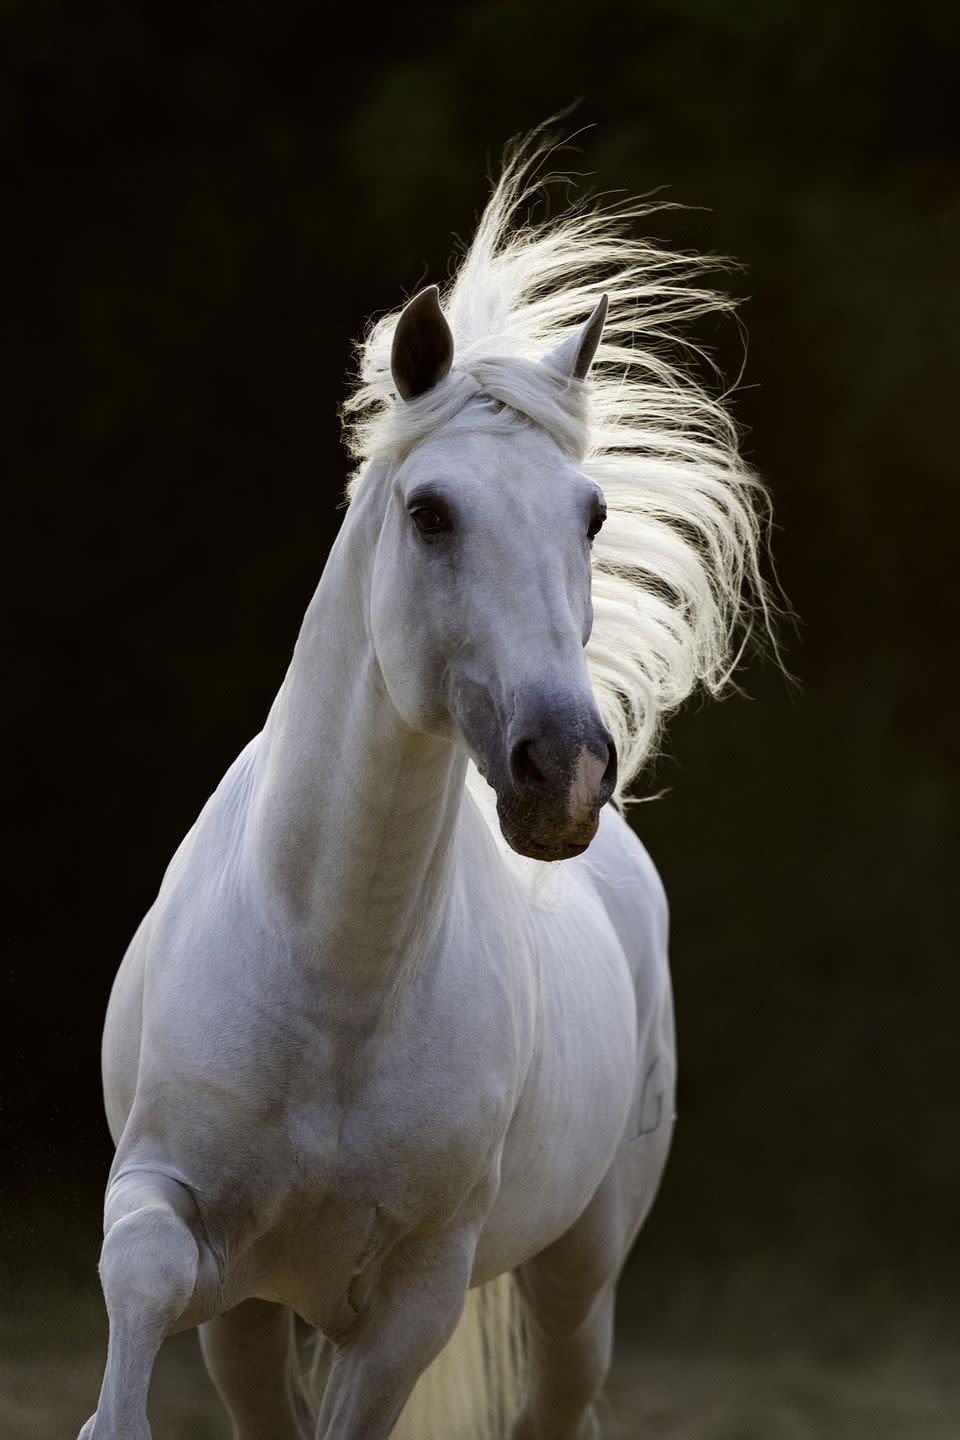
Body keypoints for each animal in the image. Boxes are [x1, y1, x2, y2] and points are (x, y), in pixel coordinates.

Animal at [80, 137, 771, 1440]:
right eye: (430, 512)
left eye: (591, 513)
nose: (567, 771)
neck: (330, 980)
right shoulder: (190, 1230)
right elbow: (144, 1283)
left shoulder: (410, 1302)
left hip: (577, 1279)